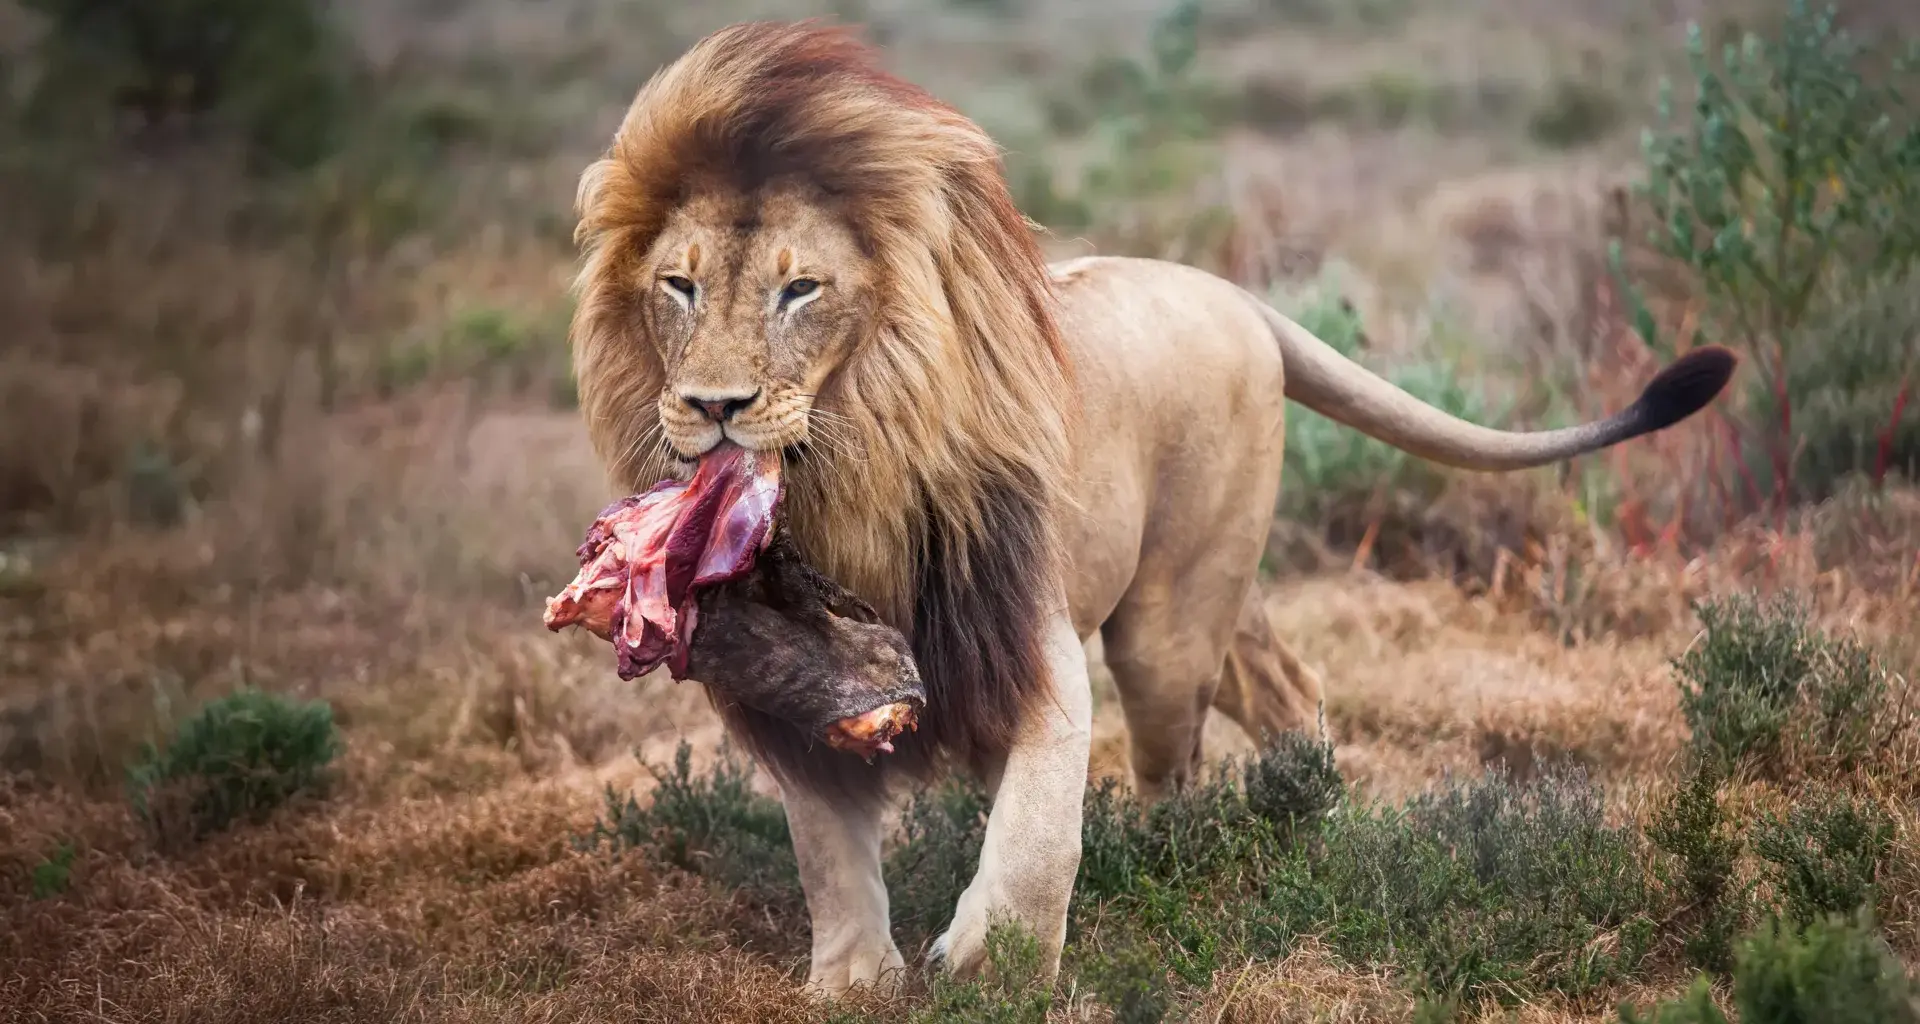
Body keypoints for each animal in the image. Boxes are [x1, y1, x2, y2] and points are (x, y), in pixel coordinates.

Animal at [568, 21, 1735, 995]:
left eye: (799, 289)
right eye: (678, 285)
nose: (713, 406)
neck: (846, 478)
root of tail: (1234, 294)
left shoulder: (1028, 636)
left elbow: (1041, 825)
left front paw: (993, 962)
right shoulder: (790, 691)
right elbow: (826, 849)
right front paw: (852, 979)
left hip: (1167, 622)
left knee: (1176, 761)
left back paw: (1174, 854)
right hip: (1217, 586)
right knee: (1287, 684)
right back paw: (1314, 811)